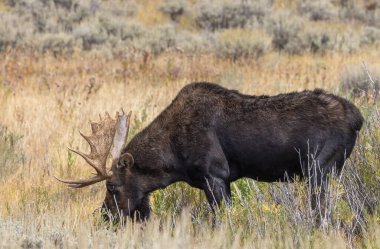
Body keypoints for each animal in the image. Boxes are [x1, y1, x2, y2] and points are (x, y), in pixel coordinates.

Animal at [55, 82, 362, 221]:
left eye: (113, 186)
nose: (104, 217)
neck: (171, 161)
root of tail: (358, 117)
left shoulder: (216, 176)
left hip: (320, 169)